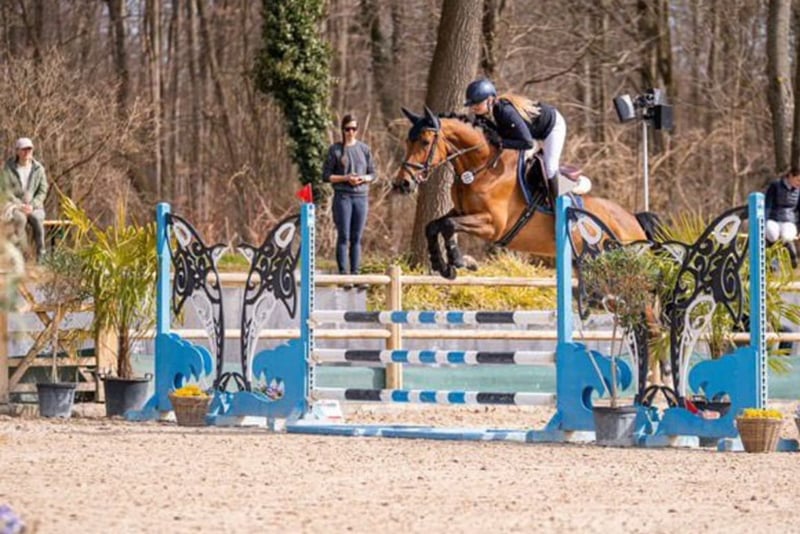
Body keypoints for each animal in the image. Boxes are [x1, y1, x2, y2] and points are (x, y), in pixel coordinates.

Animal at [394, 106, 652, 279]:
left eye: (425, 142)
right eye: (407, 141)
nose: (402, 184)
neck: (481, 167)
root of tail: (634, 220)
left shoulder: (493, 225)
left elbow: (448, 225)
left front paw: (460, 261)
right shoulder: (461, 211)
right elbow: (435, 225)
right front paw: (443, 265)